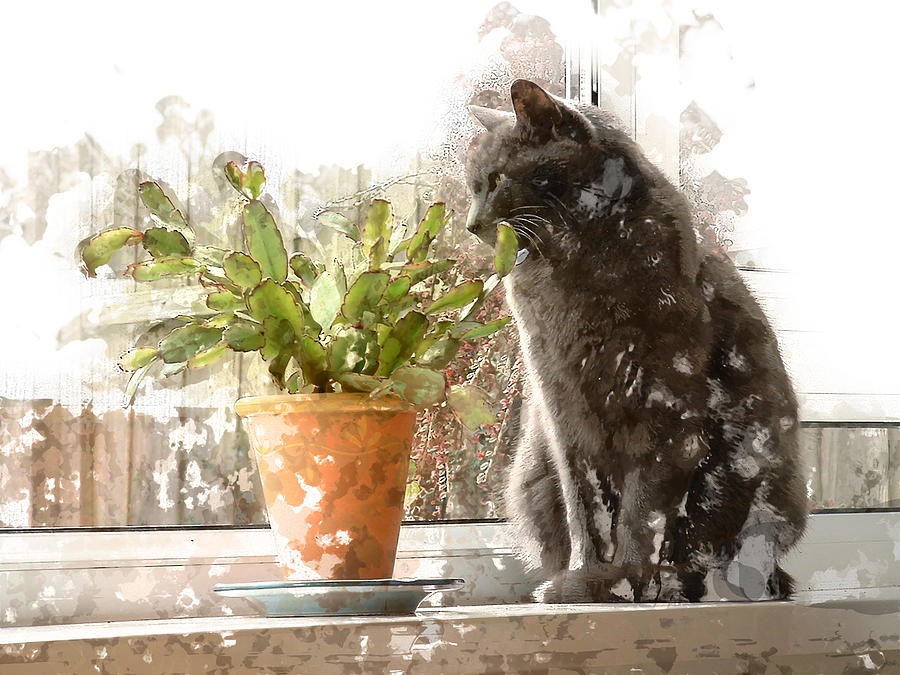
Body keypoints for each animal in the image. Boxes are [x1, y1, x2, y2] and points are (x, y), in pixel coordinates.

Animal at [464, 79, 808, 604]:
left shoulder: (669, 415)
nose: (470, 223)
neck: (572, 265)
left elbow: (641, 514)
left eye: (498, 179)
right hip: (532, 474)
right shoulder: (564, 420)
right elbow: (586, 511)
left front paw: (622, 580)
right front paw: (586, 576)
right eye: (473, 186)